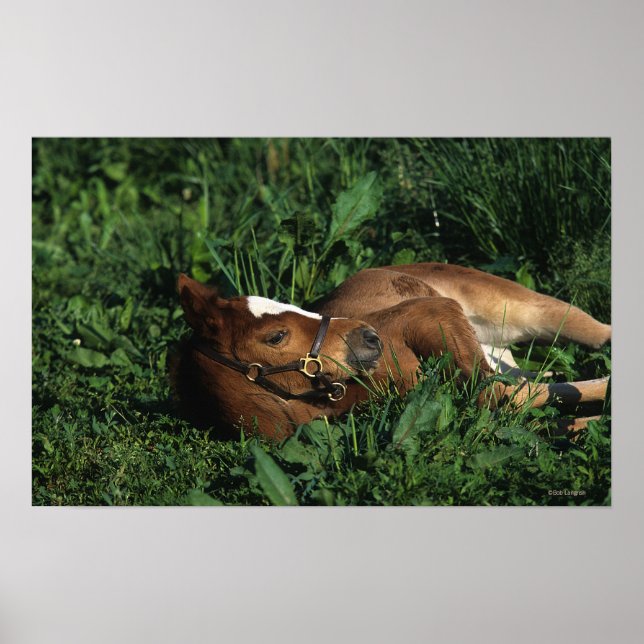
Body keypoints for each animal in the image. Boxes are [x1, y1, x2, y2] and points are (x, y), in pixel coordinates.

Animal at [171, 263, 611, 440]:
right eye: (276, 336)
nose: (368, 336)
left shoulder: (432, 312)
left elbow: (495, 398)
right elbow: (510, 402)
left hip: (521, 309)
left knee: (597, 335)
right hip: (503, 354)